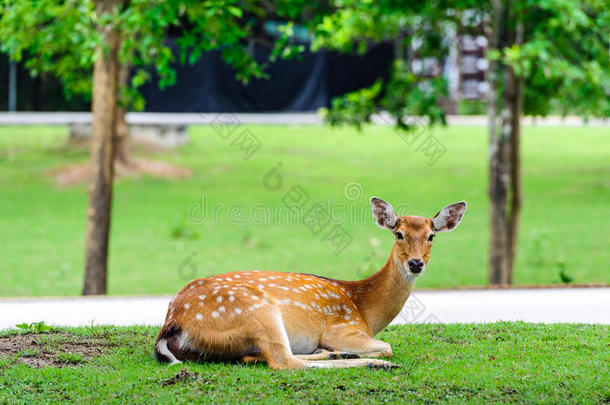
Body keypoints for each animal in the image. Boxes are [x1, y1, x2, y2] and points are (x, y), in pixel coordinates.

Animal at [154, 197, 464, 368]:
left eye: (431, 236)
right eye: (398, 234)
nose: (416, 263)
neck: (364, 309)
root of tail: (172, 323)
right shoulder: (340, 328)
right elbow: (387, 344)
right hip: (256, 310)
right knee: (284, 361)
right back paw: (373, 363)